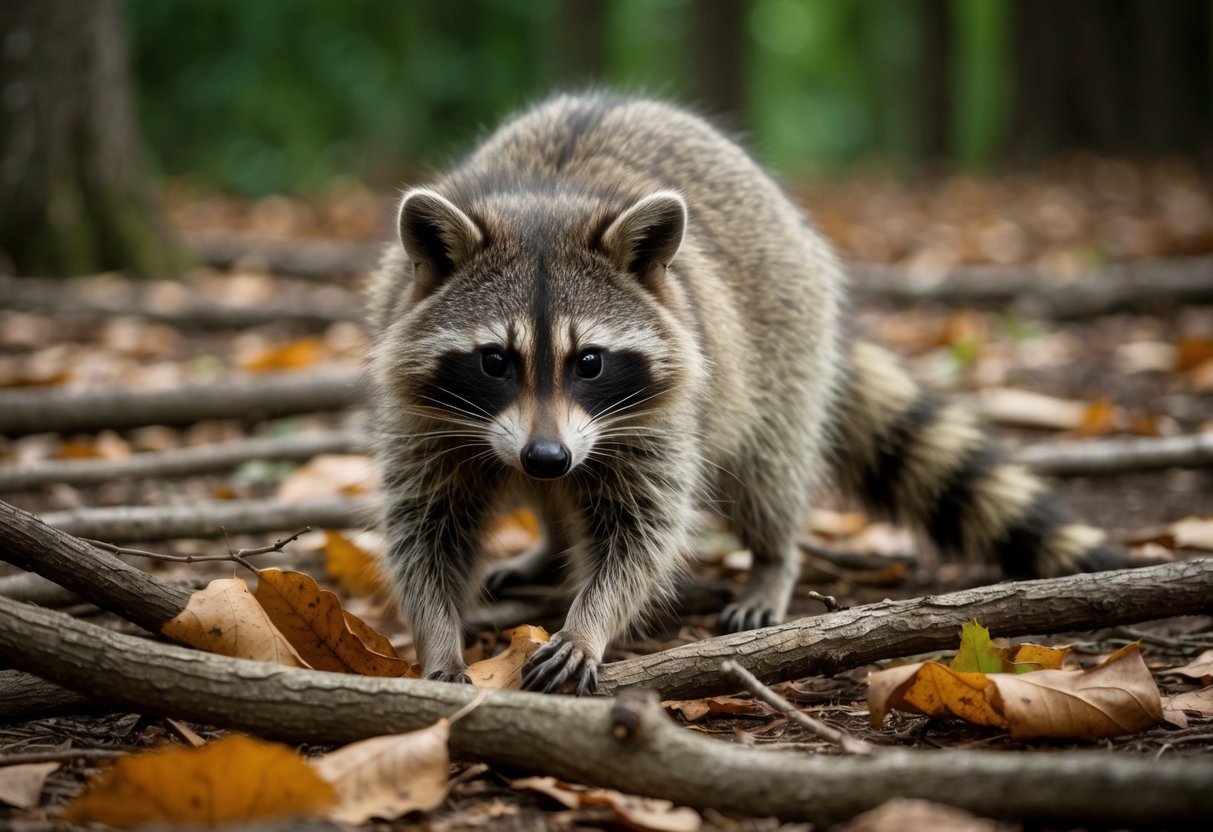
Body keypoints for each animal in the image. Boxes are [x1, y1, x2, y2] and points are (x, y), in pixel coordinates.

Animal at [367, 93, 1123, 695]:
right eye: (494, 361)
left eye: (590, 362)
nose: (545, 457)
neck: (543, 204)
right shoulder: (423, 416)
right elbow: (423, 530)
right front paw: (438, 636)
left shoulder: (657, 414)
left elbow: (642, 532)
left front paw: (591, 622)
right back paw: (550, 544)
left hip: (782, 343)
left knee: (768, 471)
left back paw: (771, 558)